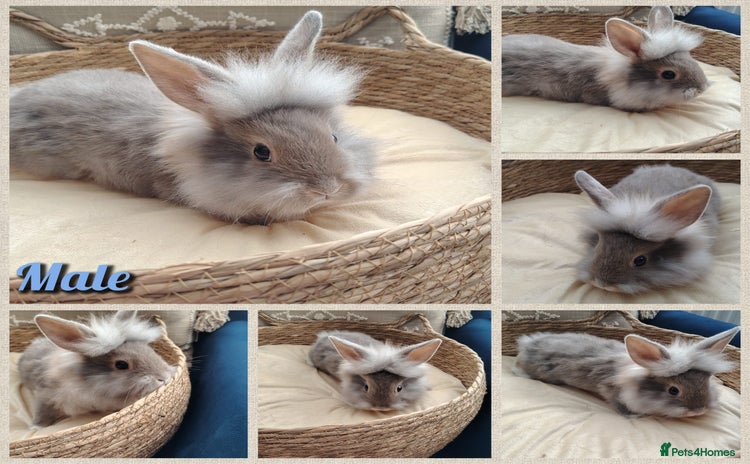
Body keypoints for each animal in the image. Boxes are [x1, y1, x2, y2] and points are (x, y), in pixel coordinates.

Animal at [17, 310, 176, 428]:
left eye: (148, 349)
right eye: (121, 365)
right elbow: (42, 412)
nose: (164, 377)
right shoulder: (46, 396)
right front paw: (37, 426)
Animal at [513, 326, 740, 418]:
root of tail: (527, 343)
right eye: (673, 391)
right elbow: (619, 404)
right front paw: (635, 416)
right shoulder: (610, 389)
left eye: (706, 383)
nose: (699, 410)